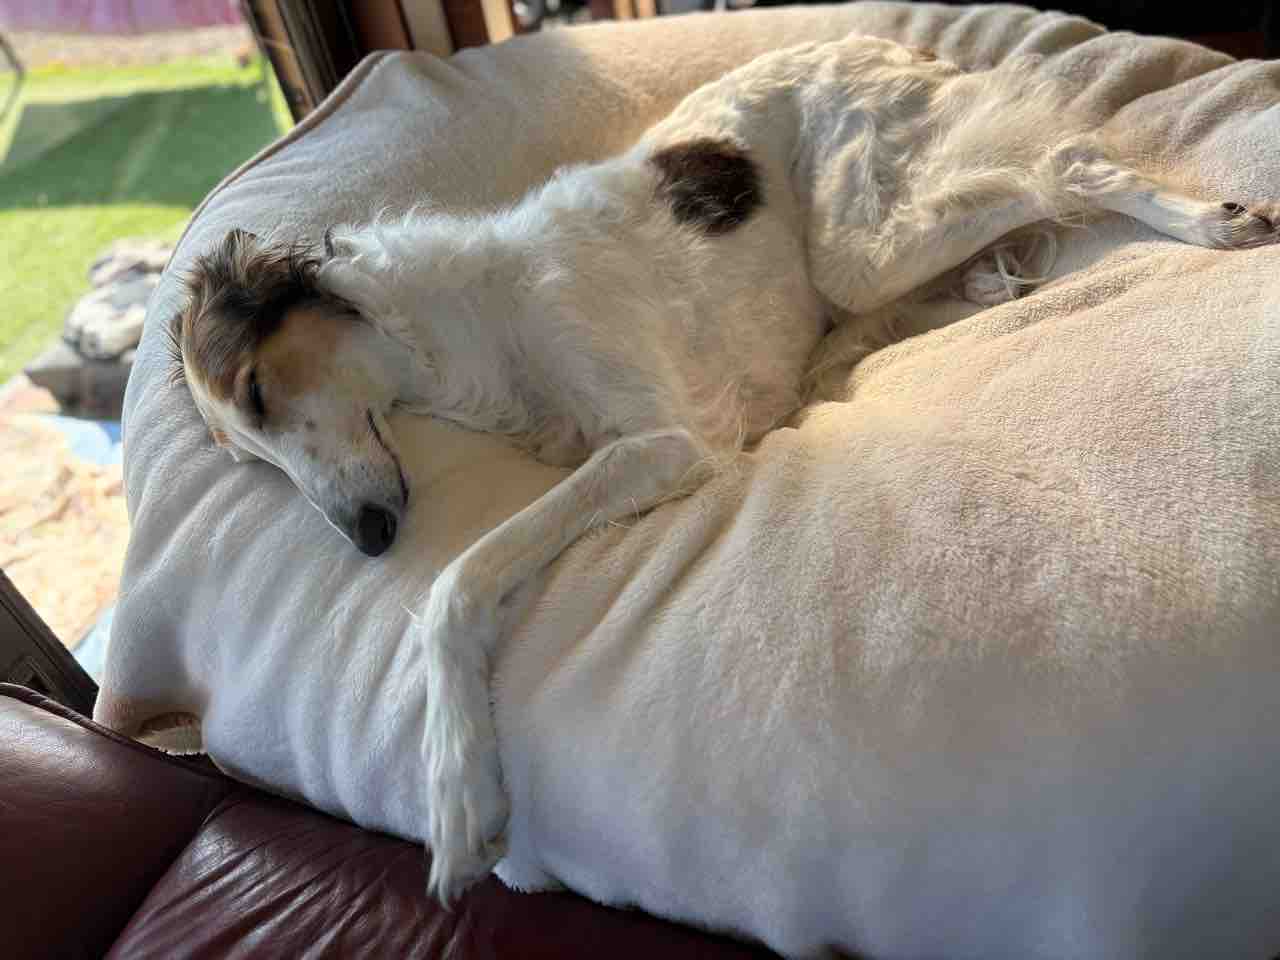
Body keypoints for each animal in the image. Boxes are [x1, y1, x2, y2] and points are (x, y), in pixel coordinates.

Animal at [170, 34, 1279, 903]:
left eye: (258, 393)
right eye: (247, 454)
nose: (366, 541)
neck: (471, 317)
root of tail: (890, 44)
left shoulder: (665, 440)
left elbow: (456, 579)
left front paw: (457, 793)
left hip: (858, 244)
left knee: (1066, 160)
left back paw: (1210, 221)